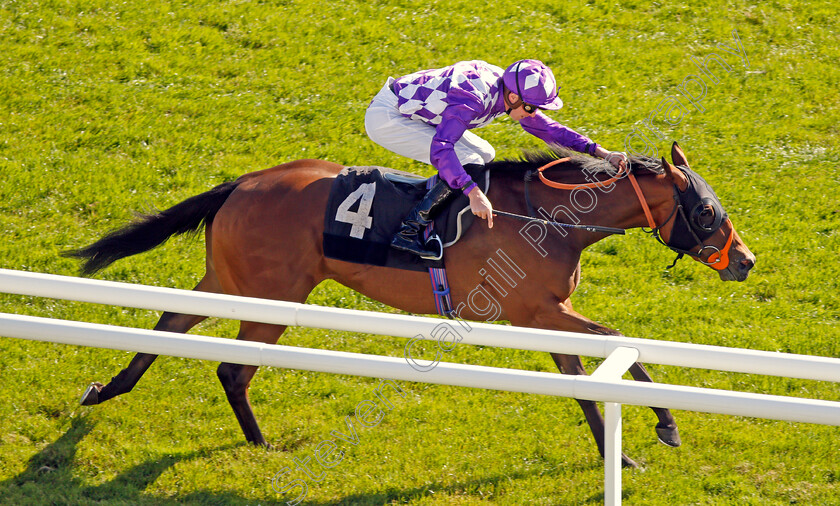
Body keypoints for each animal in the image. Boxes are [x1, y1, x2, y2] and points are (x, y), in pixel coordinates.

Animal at [67, 141, 756, 466]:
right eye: (705, 212)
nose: (745, 261)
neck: (548, 218)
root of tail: (243, 182)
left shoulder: (548, 318)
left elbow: (586, 384)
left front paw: (625, 452)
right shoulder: (538, 313)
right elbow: (614, 340)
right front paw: (666, 425)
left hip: (230, 278)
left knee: (170, 323)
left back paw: (104, 391)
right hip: (274, 295)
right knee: (232, 369)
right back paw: (261, 445)